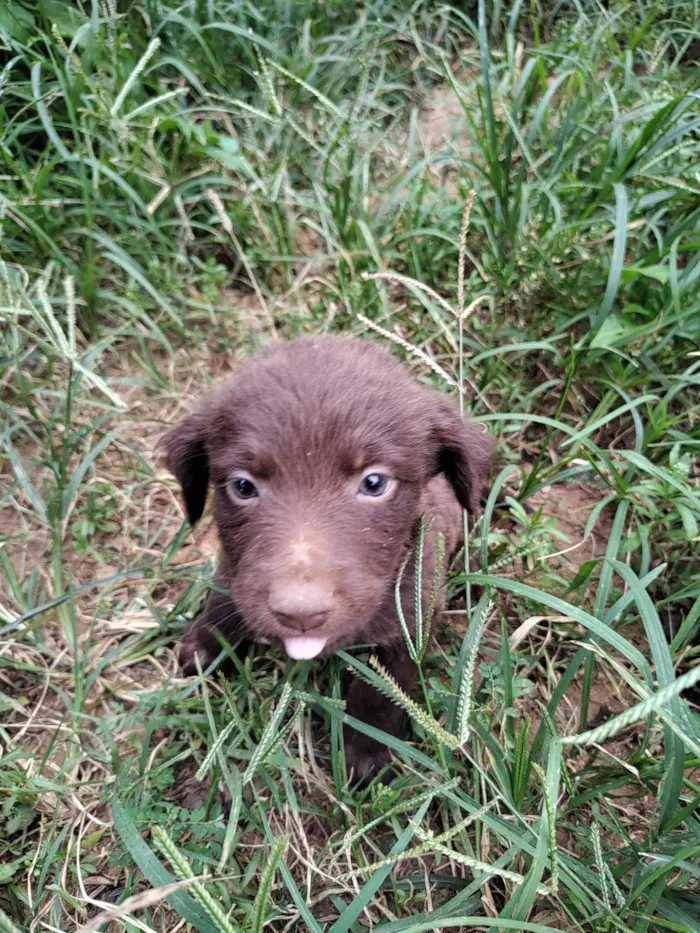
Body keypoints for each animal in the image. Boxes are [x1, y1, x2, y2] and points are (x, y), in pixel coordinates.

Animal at [163, 334, 492, 780]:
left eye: (375, 482)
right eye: (243, 486)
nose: (300, 614)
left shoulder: (413, 613)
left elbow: (382, 691)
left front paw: (367, 752)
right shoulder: (235, 569)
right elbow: (222, 600)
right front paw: (205, 643)